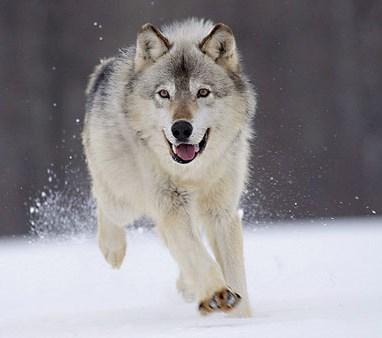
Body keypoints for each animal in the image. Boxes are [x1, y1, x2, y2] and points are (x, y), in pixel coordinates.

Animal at [83, 18, 256, 318]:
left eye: (202, 92)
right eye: (164, 93)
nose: (181, 128)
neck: (193, 173)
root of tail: (103, 69)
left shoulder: (221, 212)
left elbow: (233, 272)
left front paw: (241, 316)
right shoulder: (171, 207)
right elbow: (197, 254)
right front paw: (217, 293)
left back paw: (188, 287)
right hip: (124, 199)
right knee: (104, 202)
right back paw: (113, 249)